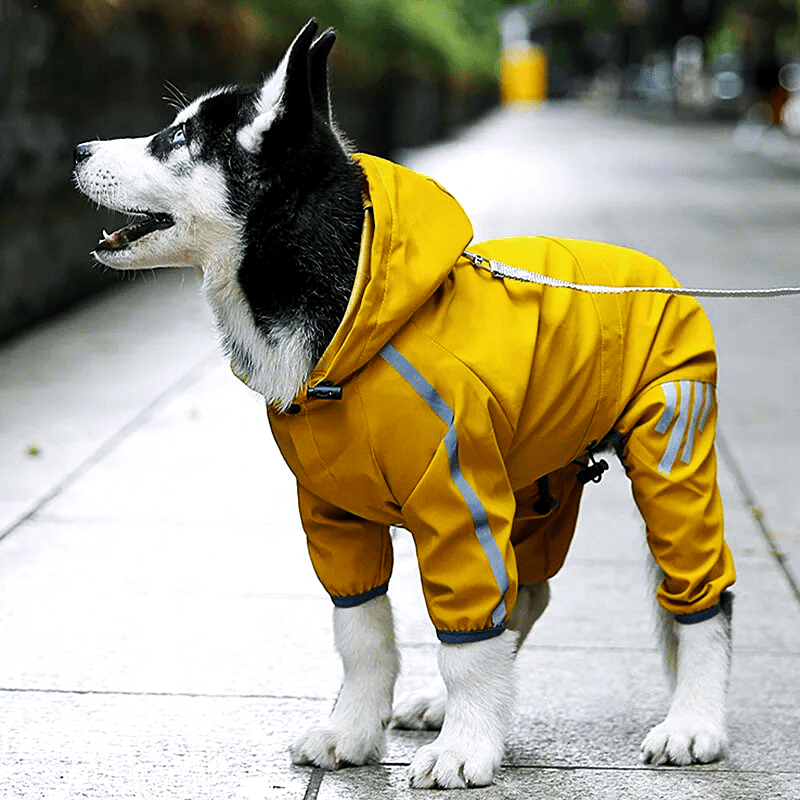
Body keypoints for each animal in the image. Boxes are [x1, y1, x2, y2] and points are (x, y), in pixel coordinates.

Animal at [72, 17, 736, 788]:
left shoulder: (457, 501)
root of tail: (656, 273)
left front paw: (466, 747)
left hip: (672, 452)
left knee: (699, 594)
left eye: (177, 138)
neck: (349, 313)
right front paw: (356, 730)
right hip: (535, 481)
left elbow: (466, 639)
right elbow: (362, 632)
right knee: (527, 593)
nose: (78, 149)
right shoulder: (335, 516)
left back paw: (693, 721)